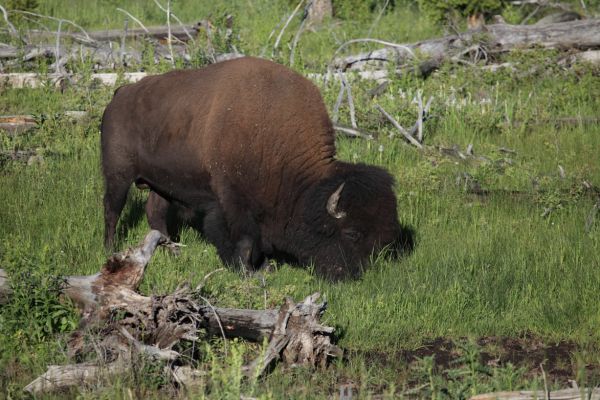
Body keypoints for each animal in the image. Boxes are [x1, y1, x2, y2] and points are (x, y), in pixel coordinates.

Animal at [101, 57, 408, 282]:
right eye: (352, 233)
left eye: (384, 238)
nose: (356, 276)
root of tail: (120, 94)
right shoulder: (232, 202)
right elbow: (244, 240)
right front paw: (249, 271)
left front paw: (265, 265)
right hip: (118, 175)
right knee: (112, 210)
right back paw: (110, 249)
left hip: (162, 183)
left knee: (155, 212)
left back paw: (171, 248)